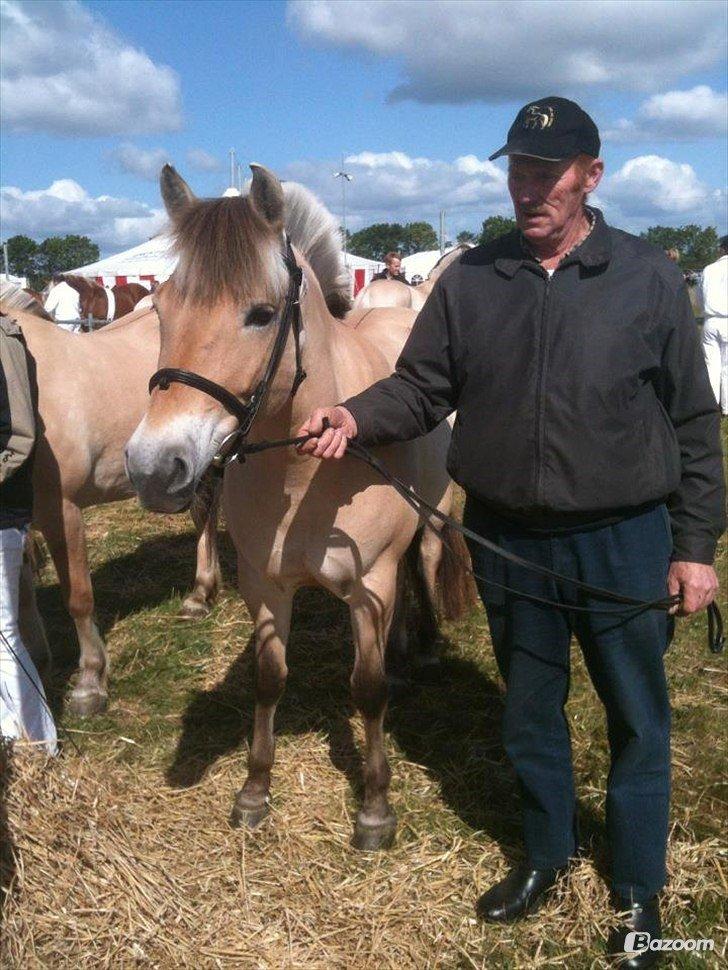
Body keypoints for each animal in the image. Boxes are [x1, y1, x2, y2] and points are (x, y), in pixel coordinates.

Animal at [0, 284, 222, 716]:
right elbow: (20, 592)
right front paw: (37, 660)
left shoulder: (61, 510)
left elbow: (78, 598)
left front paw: (90, 682)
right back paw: (200, 595)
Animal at [123, 166, 472, 848]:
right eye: (160, 308)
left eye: (261, 314)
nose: (154, 467)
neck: (308, 472)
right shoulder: (266, 584)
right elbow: (269, 679)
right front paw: (255, 791)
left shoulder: (368, 583)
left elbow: (368, 689)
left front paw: (375, 807)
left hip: (432, 515)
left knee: (424, 559)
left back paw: (423, 644)